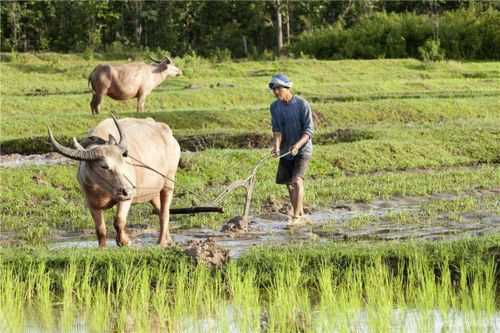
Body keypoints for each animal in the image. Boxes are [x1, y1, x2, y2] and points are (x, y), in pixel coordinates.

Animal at [48, 115, 181, 245]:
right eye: (104, 166)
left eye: (123, 162)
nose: (127, 191)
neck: (102, 190)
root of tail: (167, 132)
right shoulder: (92, 204)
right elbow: (100, 230)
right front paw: (102, 248)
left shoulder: (126, 199)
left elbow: (119, 221)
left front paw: (124, 241)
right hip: (153, 191)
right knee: (159, 210)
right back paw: (168, 240)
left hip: (169, 183)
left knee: (165, 213)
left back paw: (161, 242)